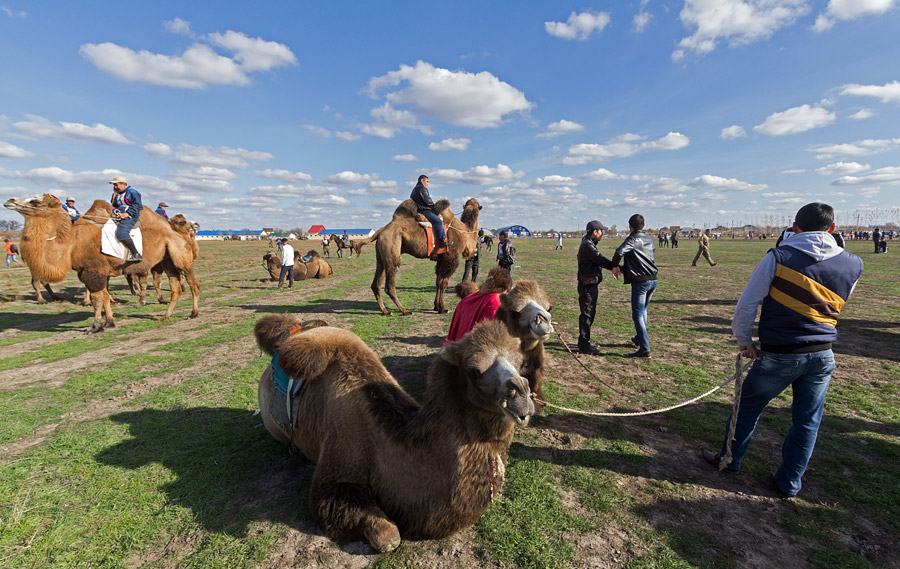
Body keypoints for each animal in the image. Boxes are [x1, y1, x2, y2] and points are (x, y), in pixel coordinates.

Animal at [4, 193, 199, 330]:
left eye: (35, 202)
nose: (9, 200)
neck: (71, 242)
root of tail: (177, 236)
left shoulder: (94, 270)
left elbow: (99, 298)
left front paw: (97, 325)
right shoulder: (93, 271)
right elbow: (103, 296)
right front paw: (108, 322)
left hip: (179, 258)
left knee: (191, 284)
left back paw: (192, 313)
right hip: (168, 260)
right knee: (177, 288)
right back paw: (167, 315)